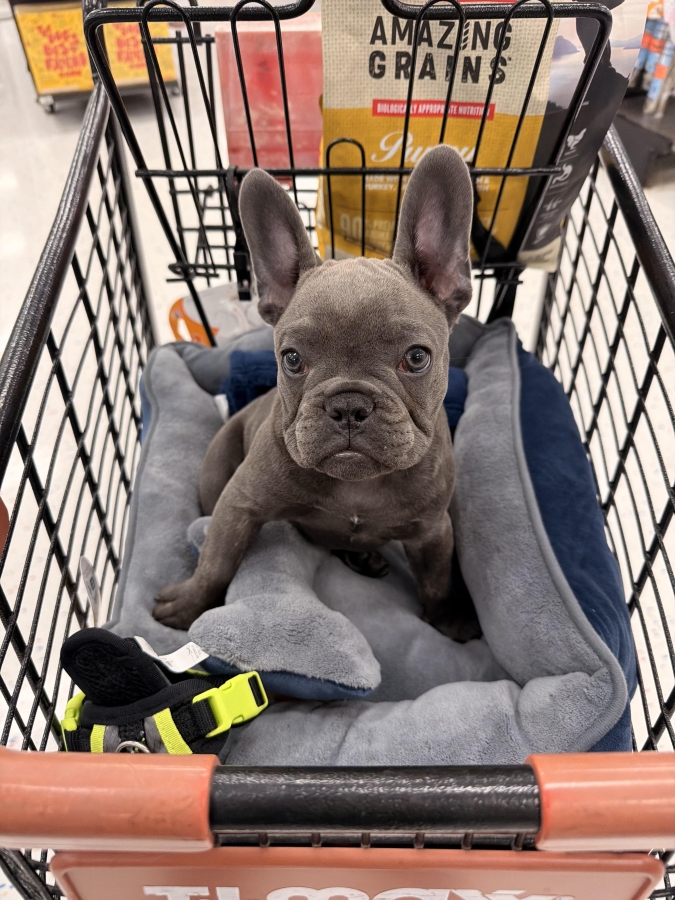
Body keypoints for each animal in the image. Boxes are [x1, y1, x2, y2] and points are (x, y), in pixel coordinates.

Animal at [153, 145, 474, 634]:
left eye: (417, 357)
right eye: (292, 359)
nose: (348, 404)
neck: (358, 487)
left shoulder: (434, 530)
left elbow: (437, 581)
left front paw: (449, 620)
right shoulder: (239, 503)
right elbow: (216, 562)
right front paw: (189, 606)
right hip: (215, 474)